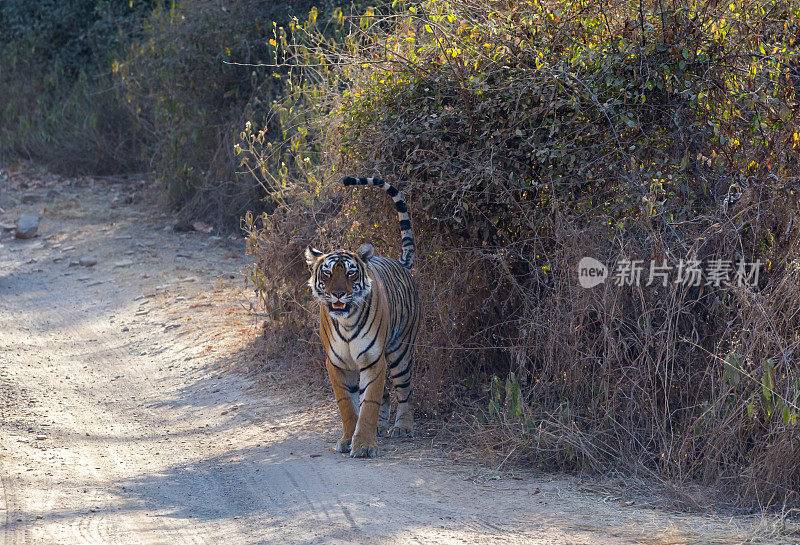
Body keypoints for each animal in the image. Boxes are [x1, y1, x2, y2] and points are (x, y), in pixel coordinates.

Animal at [304, 176, 422, 456]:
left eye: (350, 272)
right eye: (327, 273)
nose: (337, 294)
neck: (346, 322)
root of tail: (401, 263)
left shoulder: (373, 360)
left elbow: (369, 404)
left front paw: (365, 446)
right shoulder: (336, 363)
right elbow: (347, 405)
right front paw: (348, 439)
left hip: (400, 351)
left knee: (405, 390)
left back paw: (403, 427)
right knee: (388, 394)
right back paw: (381, 427)